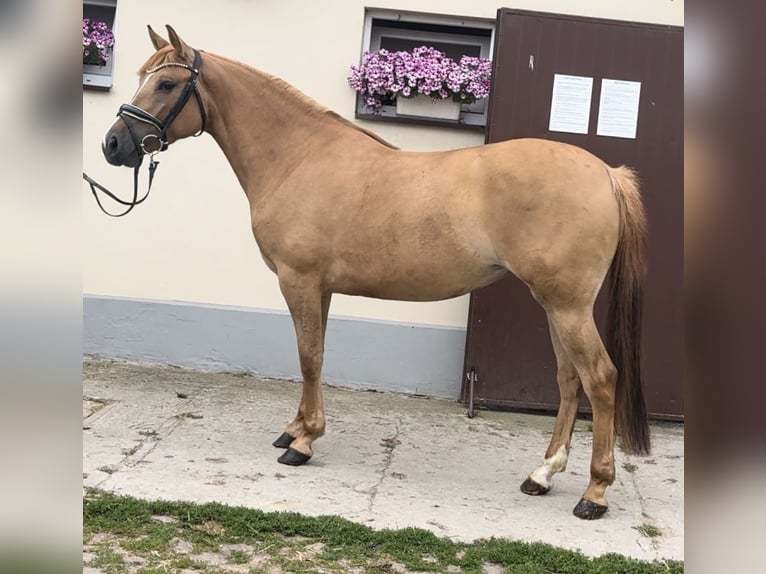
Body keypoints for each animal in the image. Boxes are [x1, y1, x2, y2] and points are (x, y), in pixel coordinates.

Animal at [102, 27, 652, 520]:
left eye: (166, 84)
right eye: (142, 78)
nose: (112, 145)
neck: (298, 157)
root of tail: (607, 173)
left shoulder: (299, 280)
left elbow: (308, 356)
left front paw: (303, 442)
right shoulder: (319, 288)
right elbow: (315, 354)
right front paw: (294, 428)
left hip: (567, 304)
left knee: (600, 379)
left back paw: (595, 493)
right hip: (556, 304)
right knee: (569, 380)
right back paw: (543, 474)